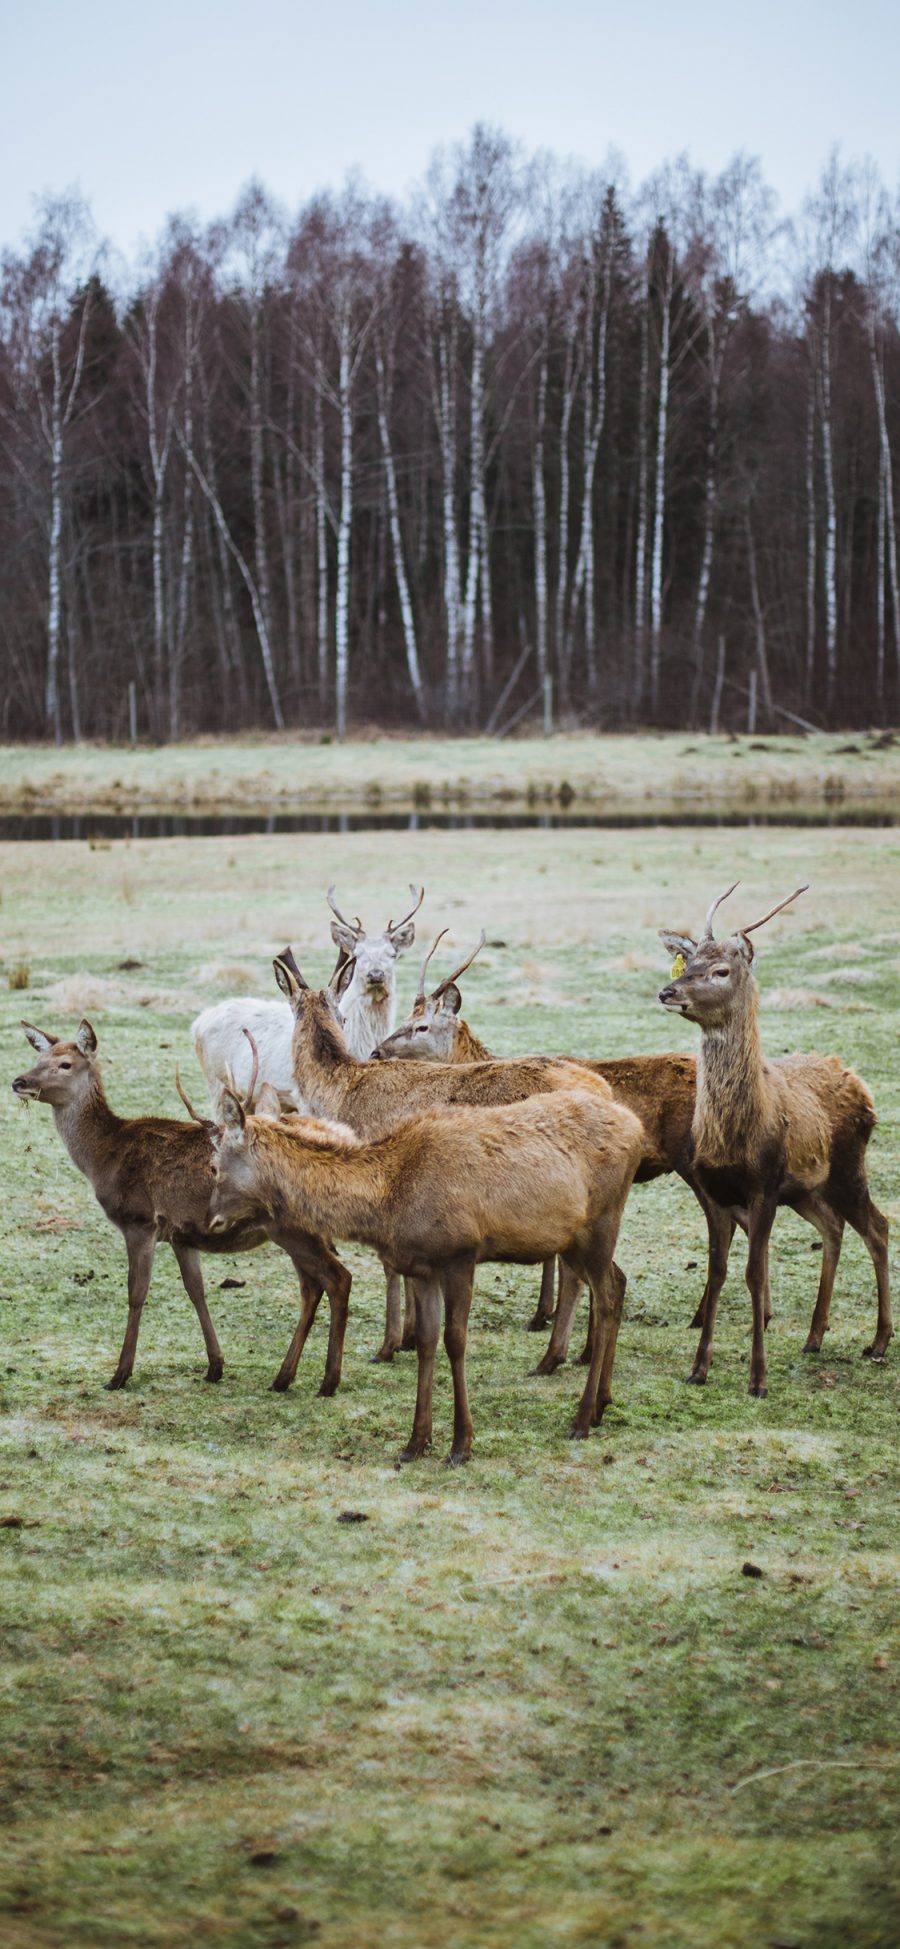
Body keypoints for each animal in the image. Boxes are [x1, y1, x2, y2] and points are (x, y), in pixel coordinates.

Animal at [14, 1013, 352, 1395]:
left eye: (65, 1064)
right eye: (39, 1058)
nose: (19, 1081)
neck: (103, 1158)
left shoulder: (139, 1221)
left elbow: (136, 1292)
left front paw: (120, 1374)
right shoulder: (182, 1235)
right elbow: (196, 1290)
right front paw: (215, 1366)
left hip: (294, 1228)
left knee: (337, 1279)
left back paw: (328, 1380)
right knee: (312, 1287)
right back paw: (283, 1376)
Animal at [191, 884, 422, 1114]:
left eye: (393, 954)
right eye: (357, 954)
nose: (375, 975)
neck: (360, 1045)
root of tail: (198, 1022)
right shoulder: (299, 1098)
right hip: (216, 1082)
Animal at [206, 1083, 642, 1465]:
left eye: (214, 1166)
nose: (212, 1220)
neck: (389, 1200)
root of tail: (636, 1126)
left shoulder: (461, 1254)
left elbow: (455, 1341)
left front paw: (461, 1445)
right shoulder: (420, 1267)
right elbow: (427, 1341)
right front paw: (416, 1442)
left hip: (602, 1222)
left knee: (606, 1297)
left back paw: (581, 1419)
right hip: (574, 1239)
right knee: (618, 1283)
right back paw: (602, 1404)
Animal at [654, 884, 892, 1403]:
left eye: (721, 971)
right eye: (689, 961)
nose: (667, 991)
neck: (734, 1137)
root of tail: (861, 1084)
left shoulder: (763, 1184)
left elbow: (754, 1272)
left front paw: (758, 1379)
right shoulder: (716, 1190)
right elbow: (718, 1272)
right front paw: (698, 1368)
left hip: (849, 1166)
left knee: (878, 1228)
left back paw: (879, 1341)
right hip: (806, 1189)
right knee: (833, 1227)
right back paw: (814, 1336)